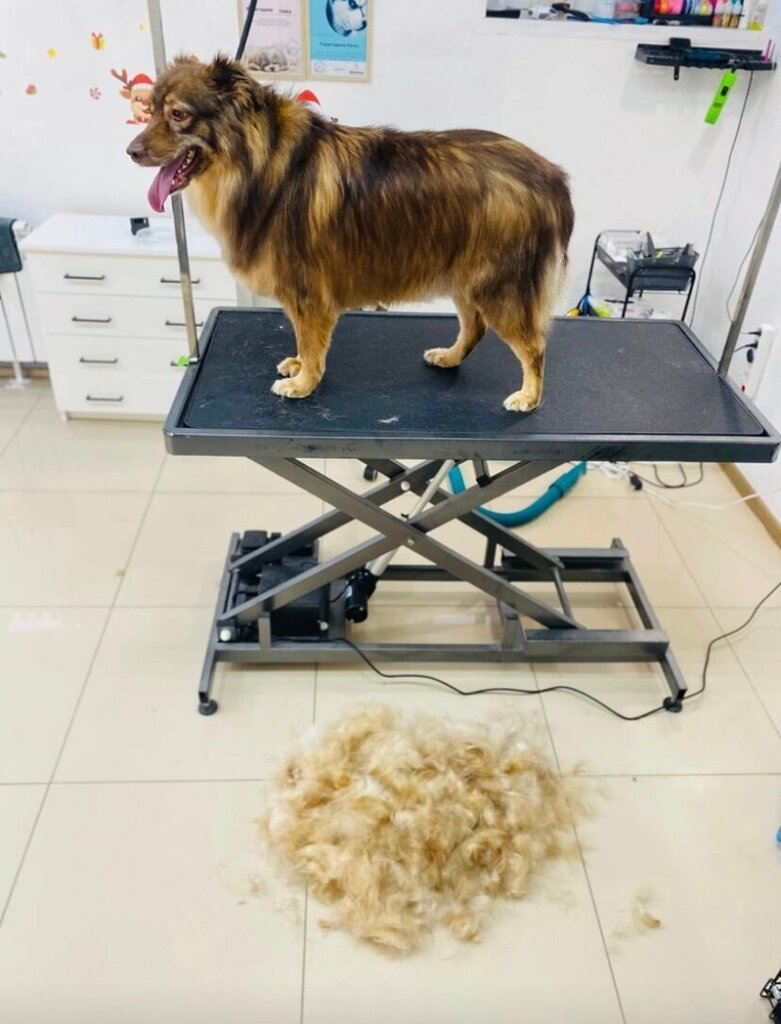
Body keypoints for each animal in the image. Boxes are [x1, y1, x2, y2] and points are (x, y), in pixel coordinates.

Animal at [127, 55, 573, 412]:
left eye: (178, 114)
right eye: (149, 110)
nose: (130, 151)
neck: (260, 162)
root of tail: (550, 176)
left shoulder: (308, 293)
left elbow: (311, 343)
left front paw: (303, 383)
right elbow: (303, 340)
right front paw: (299, 367)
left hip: (499, 287)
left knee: (534, 347)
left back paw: (530, 397)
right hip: (467, 276)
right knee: (475, 328)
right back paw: (449, 357)